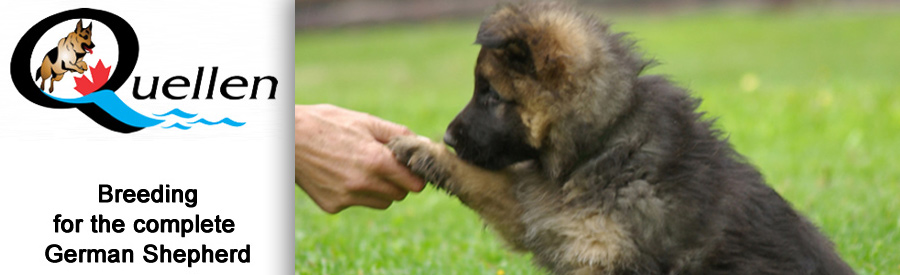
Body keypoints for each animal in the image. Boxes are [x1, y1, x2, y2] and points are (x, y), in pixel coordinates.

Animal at [386, 2, 852, 275]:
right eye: (479, 89)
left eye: (491, 94)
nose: (448, 137)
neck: (602, 142)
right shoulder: (545, 213)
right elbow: (480, 180)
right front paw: (421, 150)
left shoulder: (600, 254)